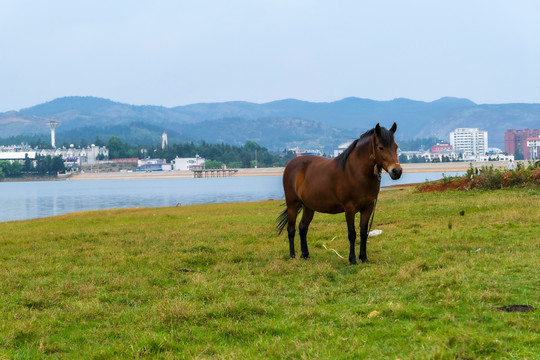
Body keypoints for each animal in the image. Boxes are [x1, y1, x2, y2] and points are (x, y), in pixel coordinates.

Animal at [278, 124, 400, 264]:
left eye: (396, 147)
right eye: (380, 147)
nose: (397, 171)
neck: (355, 172)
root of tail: (290, 164)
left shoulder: (368, 208)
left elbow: (363, 233)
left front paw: (364, 258)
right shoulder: (349, 209)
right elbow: (352, 234)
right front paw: (353, 260)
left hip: (308, 207)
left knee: (303, 228)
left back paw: (306, 255)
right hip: (293, 205)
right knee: (291, 229)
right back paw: (293, 255)